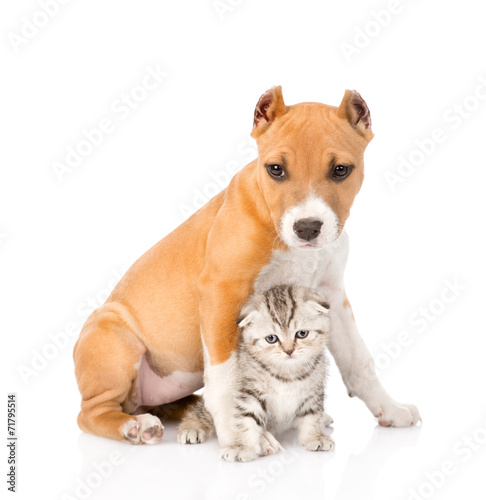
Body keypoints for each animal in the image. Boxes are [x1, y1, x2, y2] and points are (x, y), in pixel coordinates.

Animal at [178, 286, 334, 460]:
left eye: (302, 334)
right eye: (271, 338)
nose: (288, 351)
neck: (287, 373)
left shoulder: (313, 392)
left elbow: (312, 416)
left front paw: (316, 437)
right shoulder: (248, 393)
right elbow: (245, 420)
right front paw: (242, 446)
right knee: (200, 411)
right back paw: (190, 428)